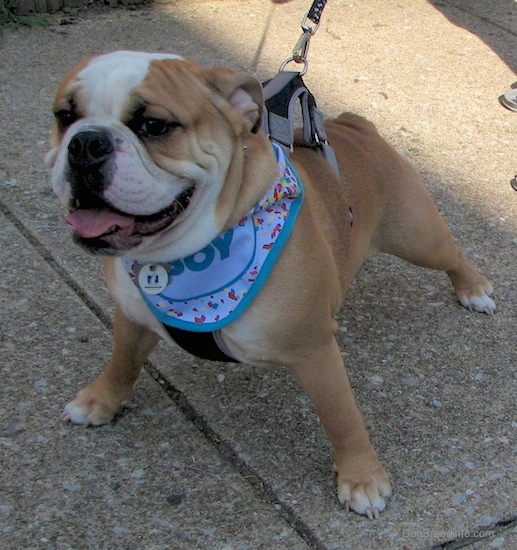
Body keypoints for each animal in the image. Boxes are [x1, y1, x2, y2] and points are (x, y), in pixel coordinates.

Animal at [48, 49, 496, 520]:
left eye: (154, 125)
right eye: (65, 116)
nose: (85, 143)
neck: (179, 257)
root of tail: (355, 125)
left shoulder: (314, 352)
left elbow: (342, 417)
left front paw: (361, 478)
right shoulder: (132, 315)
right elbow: (123, 361)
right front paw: (100, 401)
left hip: (417, 236)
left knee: (451, 254)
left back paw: (473, 288)